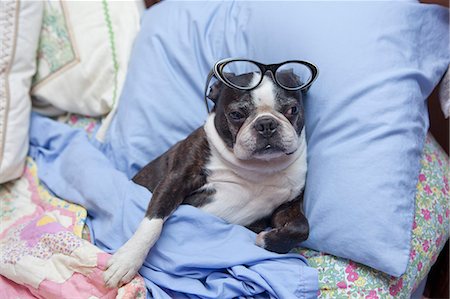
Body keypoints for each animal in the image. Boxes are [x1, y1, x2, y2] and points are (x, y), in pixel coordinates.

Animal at [104, 60, 316, 288]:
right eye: (236, 115)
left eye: (292, 109)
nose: (266, 124)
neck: (258, 168)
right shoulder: (176, 180)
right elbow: (152, 222)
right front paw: (127, 260)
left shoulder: (288, 205)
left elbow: (301, 228)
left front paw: (267, 241)